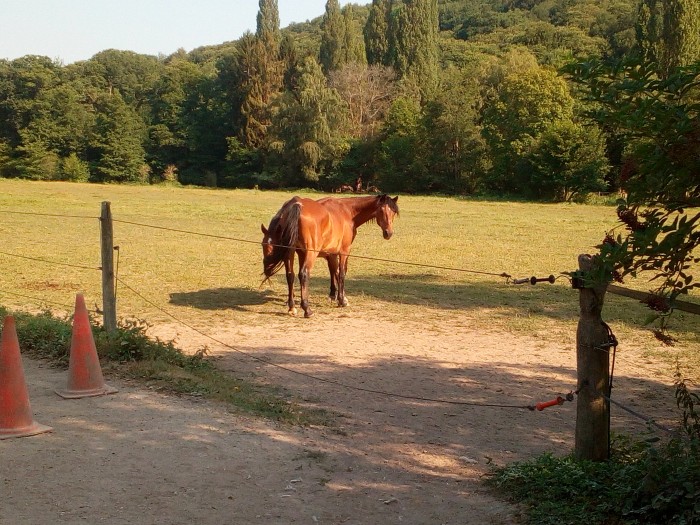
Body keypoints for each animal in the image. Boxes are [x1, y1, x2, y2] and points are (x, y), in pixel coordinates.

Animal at [262, 192, 400, 316]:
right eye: (382, 210)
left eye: (393, 212)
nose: (388, 233)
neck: (347, 212)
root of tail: (297, 205)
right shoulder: (344, 251)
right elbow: (341, 273)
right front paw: (342, 300)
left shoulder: (328, 253)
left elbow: (333, 271)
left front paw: (334, 295)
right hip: (310, 254)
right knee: (304, 274)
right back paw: (307, 309)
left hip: (290, 253)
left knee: (290, 275)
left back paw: (292, 307)